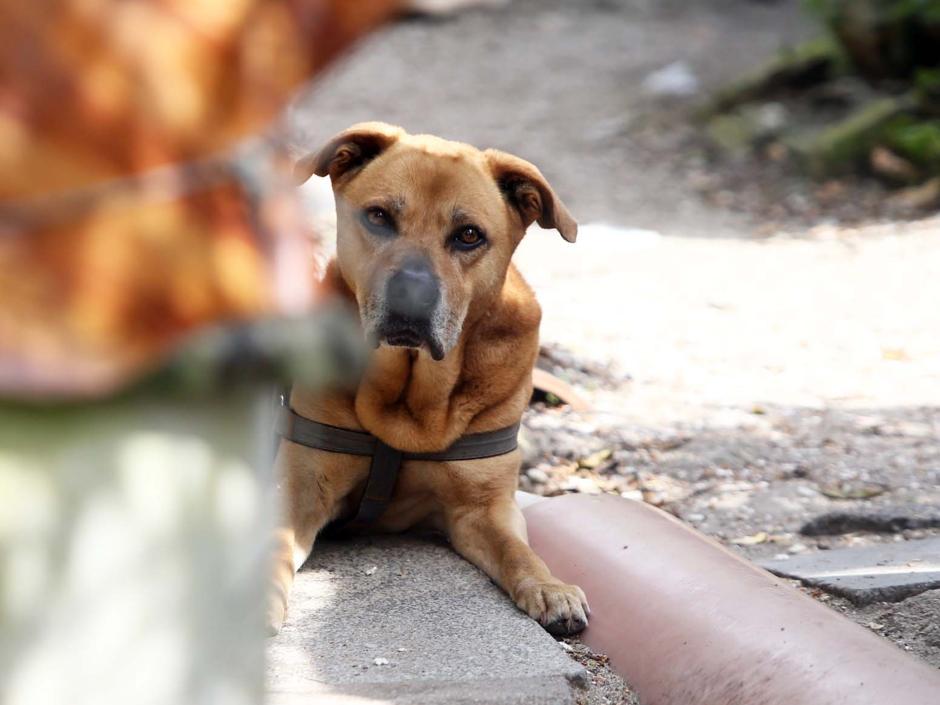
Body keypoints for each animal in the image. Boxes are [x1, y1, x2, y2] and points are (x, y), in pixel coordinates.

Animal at [268, 124, 588, 636]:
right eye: (379, 216)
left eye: (469, 235)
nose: (410, 294)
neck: (408, 398)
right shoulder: (300, 488)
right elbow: (276, 544)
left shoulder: (484, 507)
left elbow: (519, 552)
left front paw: (549, 586)